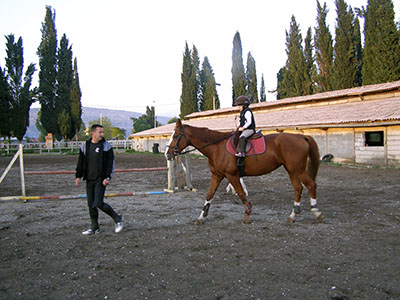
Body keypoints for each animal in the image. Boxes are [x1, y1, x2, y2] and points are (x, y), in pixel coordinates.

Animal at [164, 119, 324, 225]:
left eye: (176, 136)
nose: (167, 154)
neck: (217, 147)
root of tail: (301, 136)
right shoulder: (217, 175)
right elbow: (209, 194)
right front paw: (201, 217)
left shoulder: (232, 176)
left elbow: (241, 194)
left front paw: (247, 215)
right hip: (292, 170)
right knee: (298, 188)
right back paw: (293, 215)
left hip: (298, 170)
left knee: (311, 185)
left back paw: (317, 212)